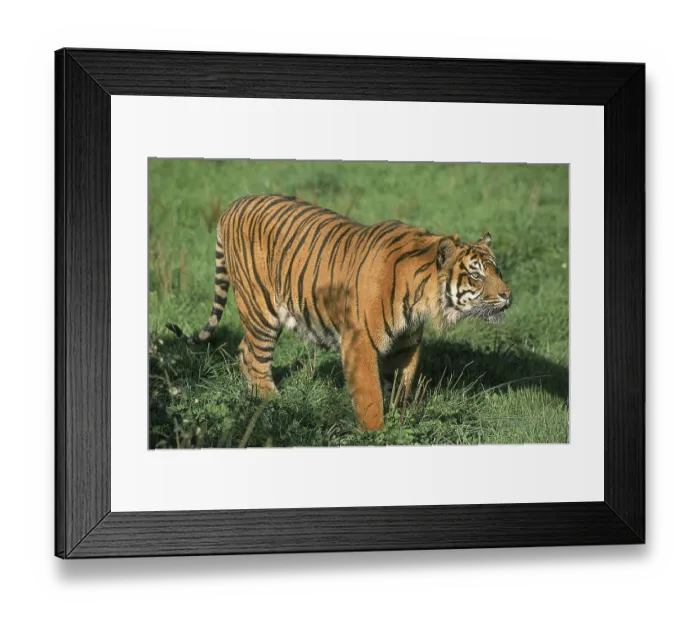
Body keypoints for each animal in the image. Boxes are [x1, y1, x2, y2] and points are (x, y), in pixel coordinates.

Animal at [166, 194, 512, 431]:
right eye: (476, 275)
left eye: (497, 270)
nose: (508, 295)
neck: (422, 298)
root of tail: (234, 204)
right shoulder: (360, 342)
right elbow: (370, 395)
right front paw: (377, 433)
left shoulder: (406, 345)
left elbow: (401, 387)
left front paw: (400, 422)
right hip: (260, 307)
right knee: (253, 355)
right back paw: (272, 403)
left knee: (242, 350)